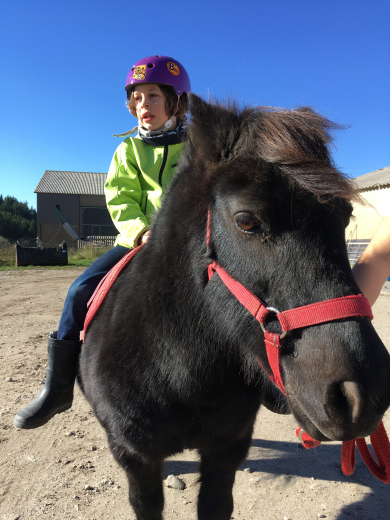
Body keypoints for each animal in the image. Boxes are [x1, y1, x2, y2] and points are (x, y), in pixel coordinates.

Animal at [78, 94, 390, 520]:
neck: (173, 368)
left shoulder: (227, 450)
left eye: (344, 218)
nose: (359, 395)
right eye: (246, 221)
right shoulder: (135, 458)